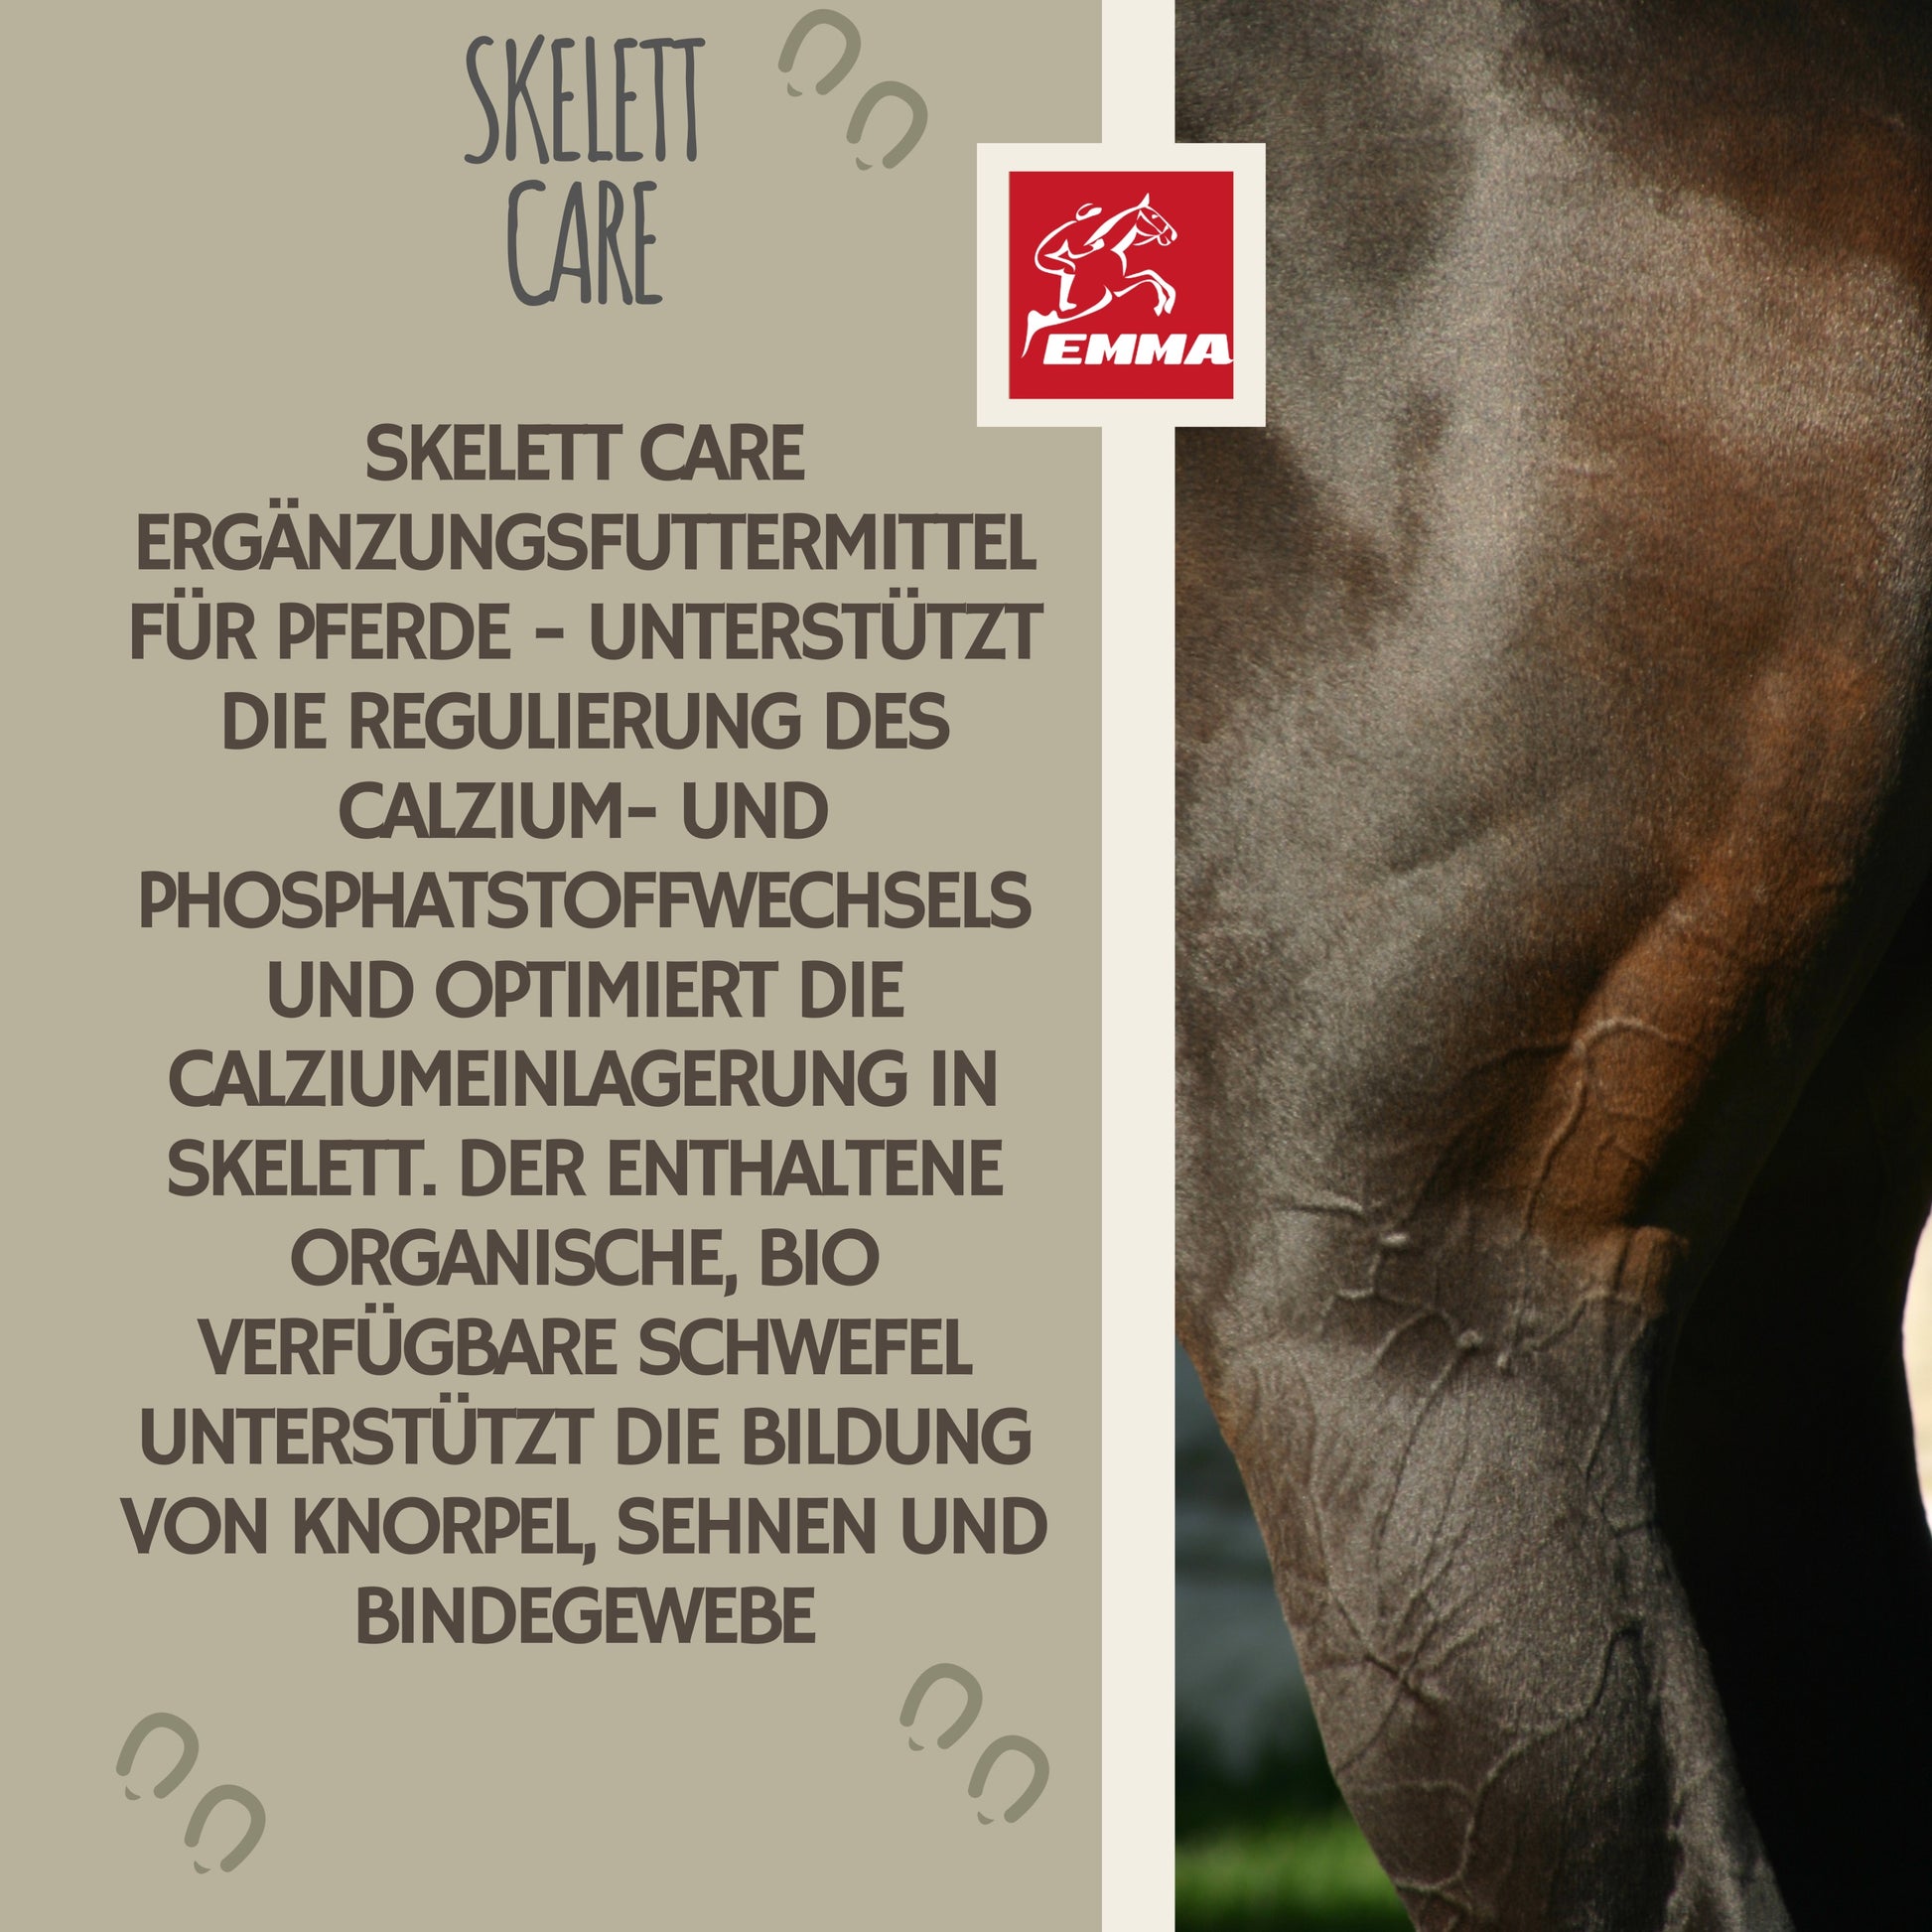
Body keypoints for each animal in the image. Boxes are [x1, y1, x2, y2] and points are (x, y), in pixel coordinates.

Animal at [1023, 196, 1179, 353]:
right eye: (1154, 216)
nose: (1173, 235)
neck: (1112, 248)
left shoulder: (1120, 282)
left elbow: (1151, 274)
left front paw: (1167, 303)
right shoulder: (1118, 285)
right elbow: (1149, 277)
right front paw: (1162, 305)